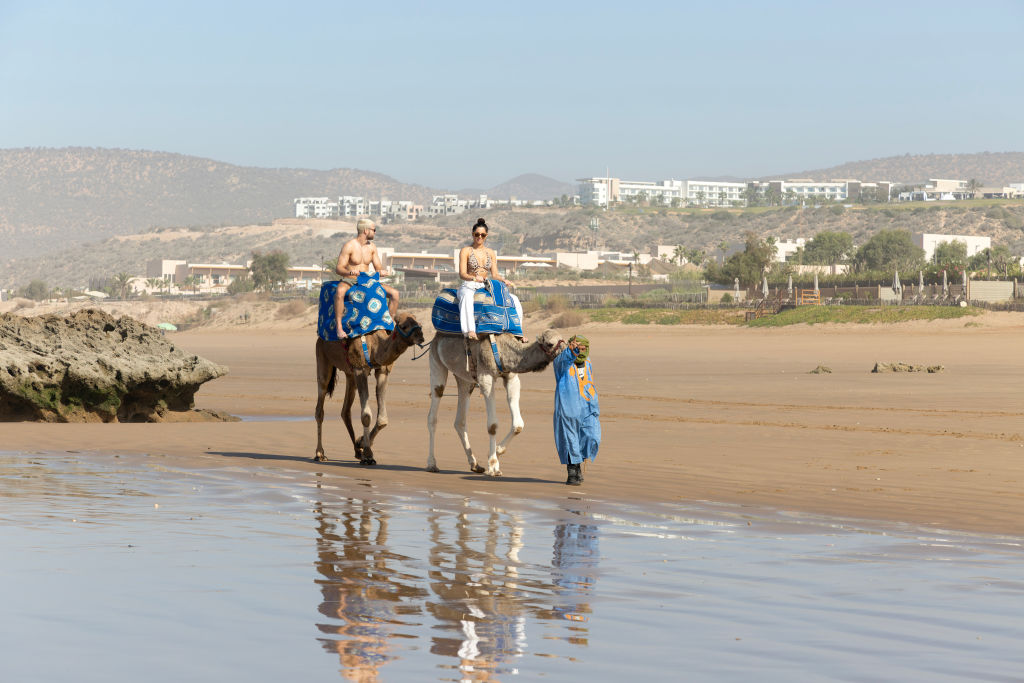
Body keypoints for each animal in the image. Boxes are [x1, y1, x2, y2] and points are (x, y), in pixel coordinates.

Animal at [311, 313, 423, 466]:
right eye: (403, 326)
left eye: (418, 322)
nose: (421, 335)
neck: (375, 346)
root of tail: (319, 337)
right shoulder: (360, 369)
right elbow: (366, 415)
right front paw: (368, 454)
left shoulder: (382, 371)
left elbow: (382, 419)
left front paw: (362, 443)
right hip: (323, 359)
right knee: (320, 408)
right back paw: (320, 453)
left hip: (350, 374)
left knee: (345, 411)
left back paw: (358, 452)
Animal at [425, 329, 565, 475]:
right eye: (550, 343)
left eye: (564, 339)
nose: (566, 349)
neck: (504, 350)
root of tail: (435, 337)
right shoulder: (485, 377)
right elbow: (492, 425)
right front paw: (493, 466)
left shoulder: (511, 377)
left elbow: (518, 425)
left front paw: (496, 451)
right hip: (436, 360)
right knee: (434, 407)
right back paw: (432, 464)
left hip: (464, 378)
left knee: (460, 420)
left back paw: (475, 464)